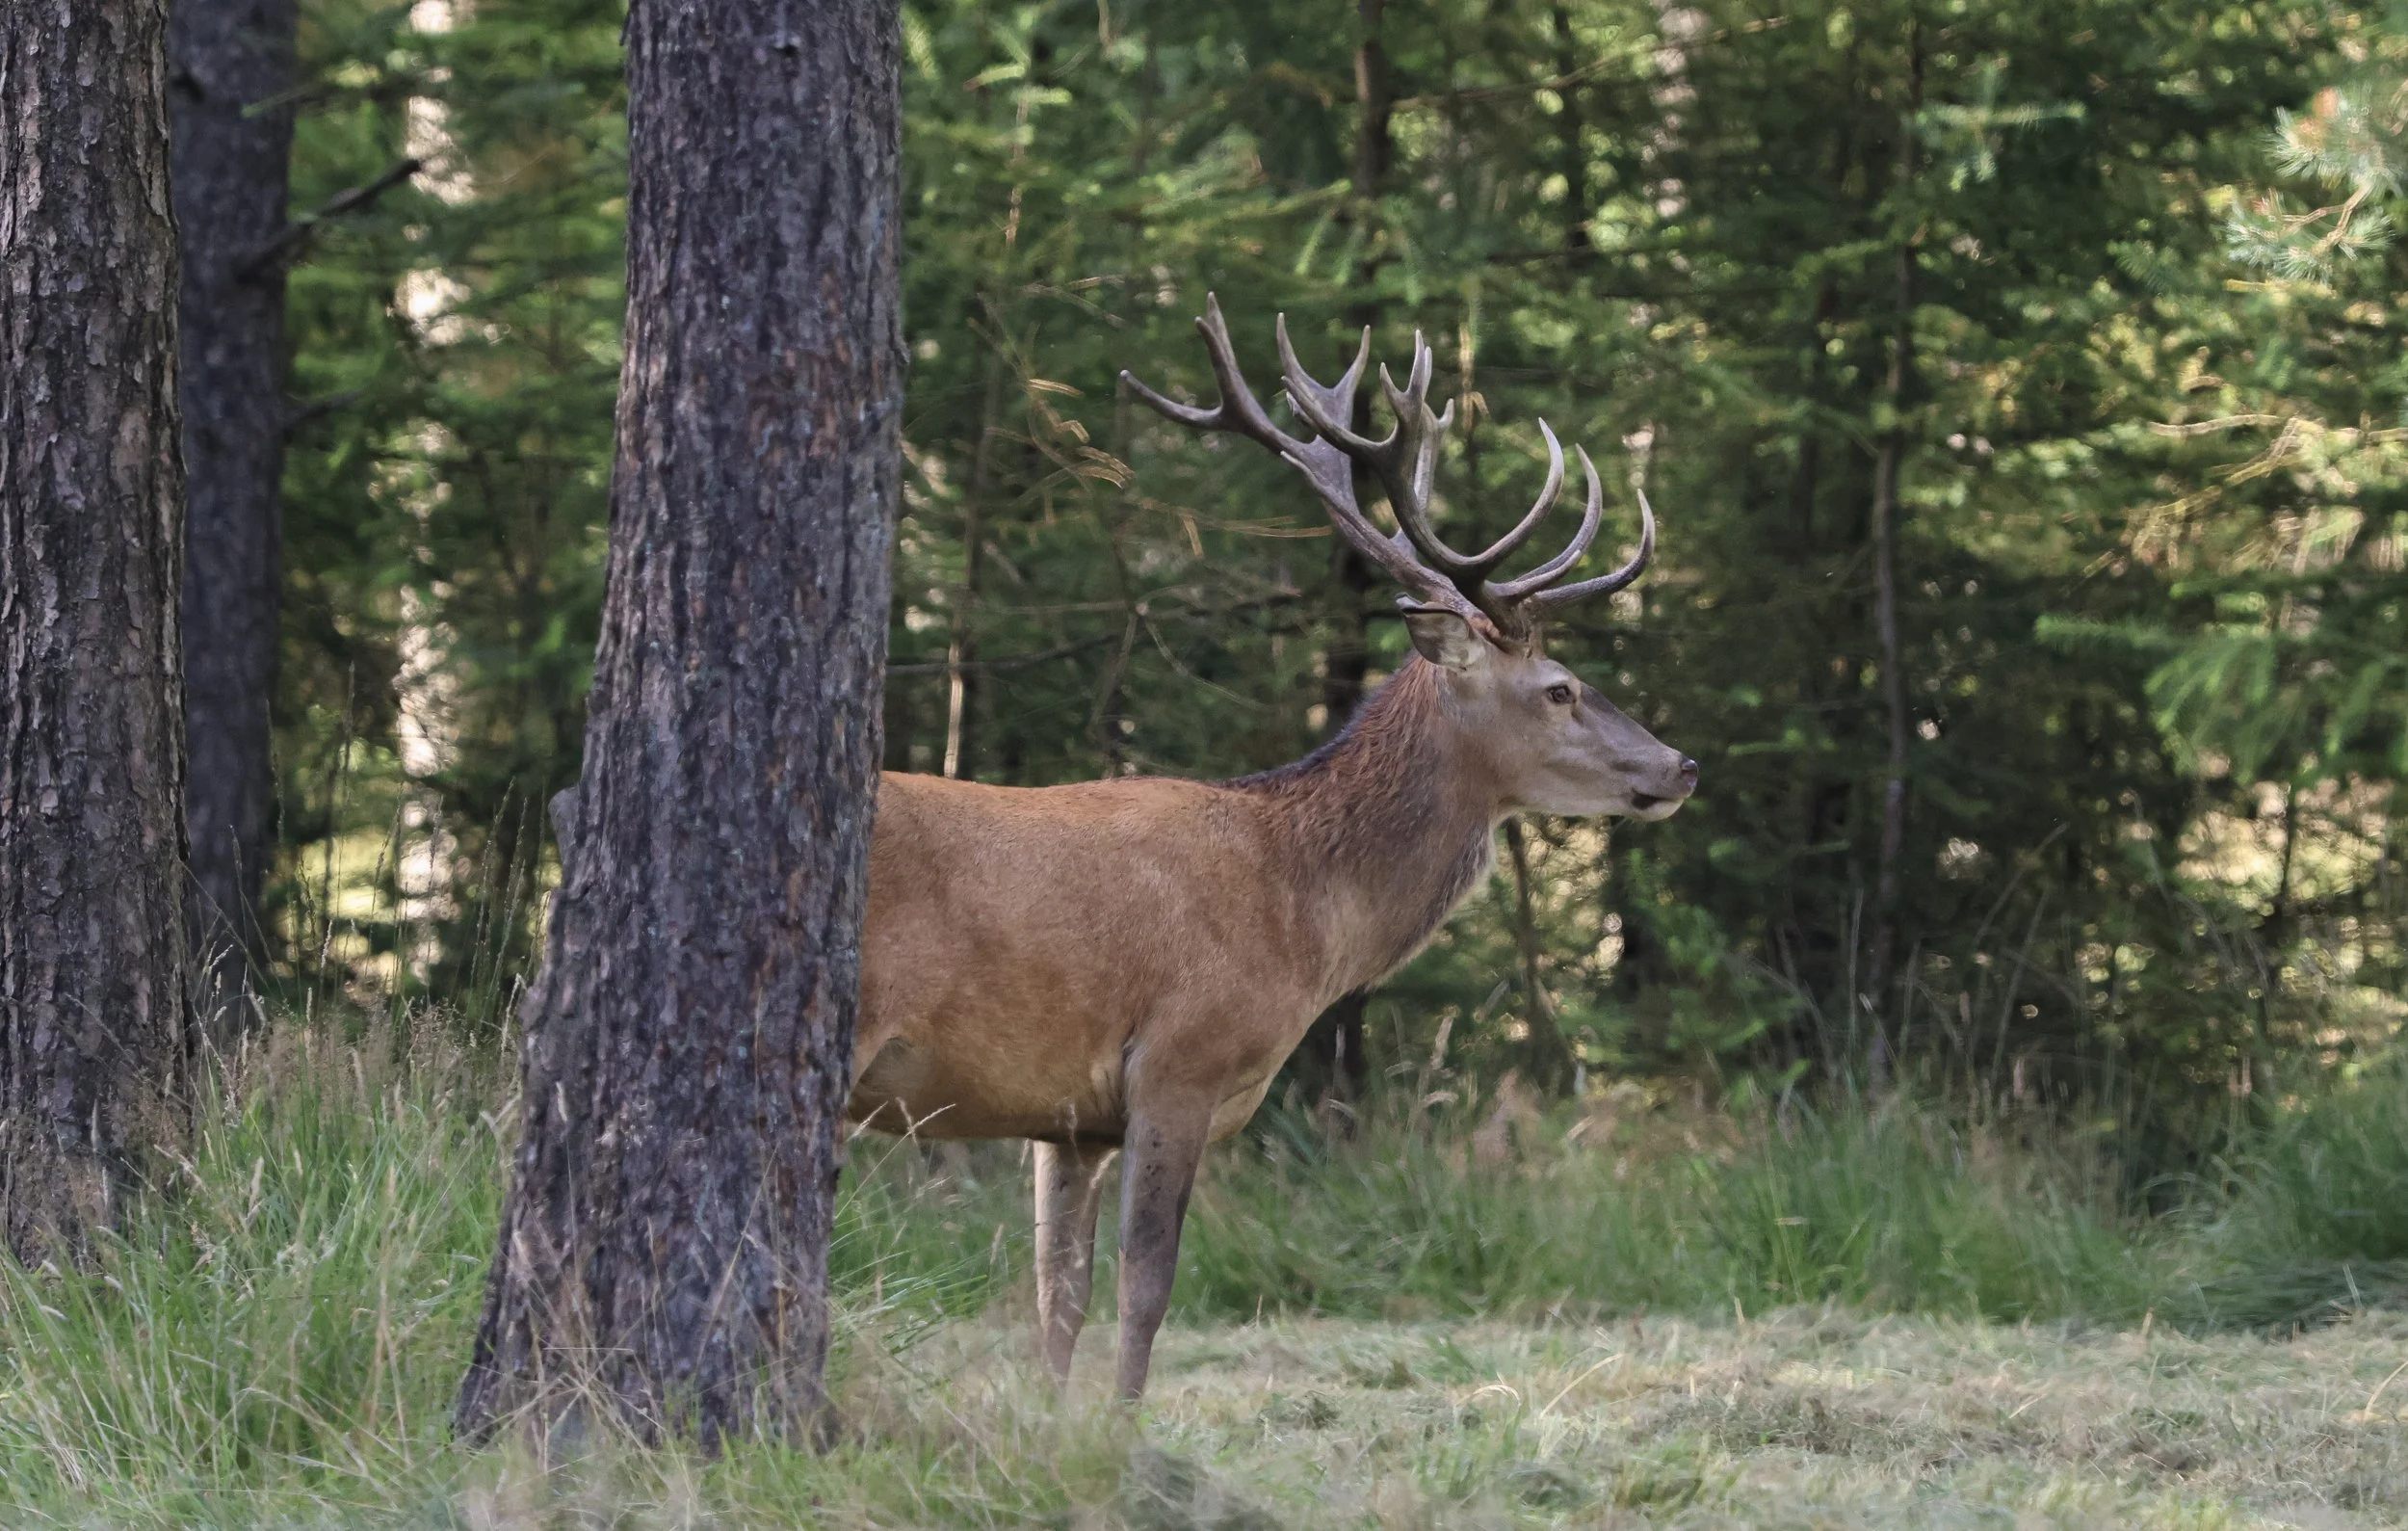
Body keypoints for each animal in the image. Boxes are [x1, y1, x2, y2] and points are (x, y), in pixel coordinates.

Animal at [850, 297, 1695, 1402]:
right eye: (1559, 688)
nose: (1681, 763)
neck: (1302, 909)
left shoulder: (1066, 1114)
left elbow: (1054, 1299)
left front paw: (1053, 1421)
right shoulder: (1182, 1056)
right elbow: (1146, 1287)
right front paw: (1122, 1428)